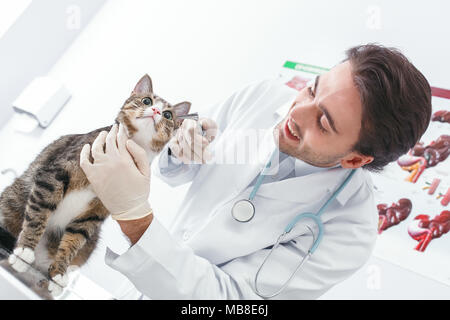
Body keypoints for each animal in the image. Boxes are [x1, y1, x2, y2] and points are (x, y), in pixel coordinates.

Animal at [0, 74, 190, 296]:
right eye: (146, 101)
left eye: (168, 114)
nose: (157, 111)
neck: (127, 149)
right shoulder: (54, 175)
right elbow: (38, 214)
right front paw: (25, 249)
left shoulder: (97, 211)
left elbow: (74, 240)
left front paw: (58, 272)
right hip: (13, 199)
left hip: (90, 244)